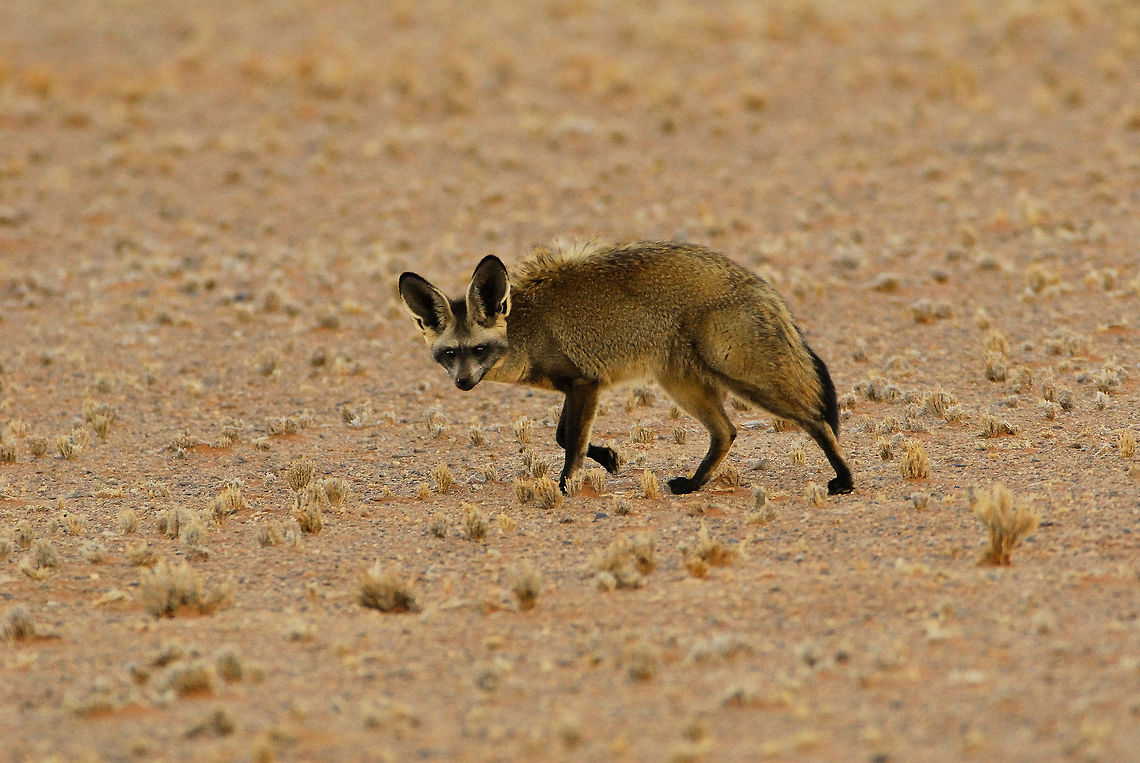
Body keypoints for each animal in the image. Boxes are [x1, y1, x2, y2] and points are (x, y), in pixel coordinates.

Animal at [398, 241, 853, 497]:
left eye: (478, 349)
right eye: (448, 354)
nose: (462, 383)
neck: (528, 328)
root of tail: (758, 283)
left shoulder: (585, 383)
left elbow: (571, 444)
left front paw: (565, 488)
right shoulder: (576, 387)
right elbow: (563, 436)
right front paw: (610, 458)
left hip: (744, 378)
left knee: (815, 419)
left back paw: (845, 481)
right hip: (683, 386)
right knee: (726, 433)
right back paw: (693, 485)